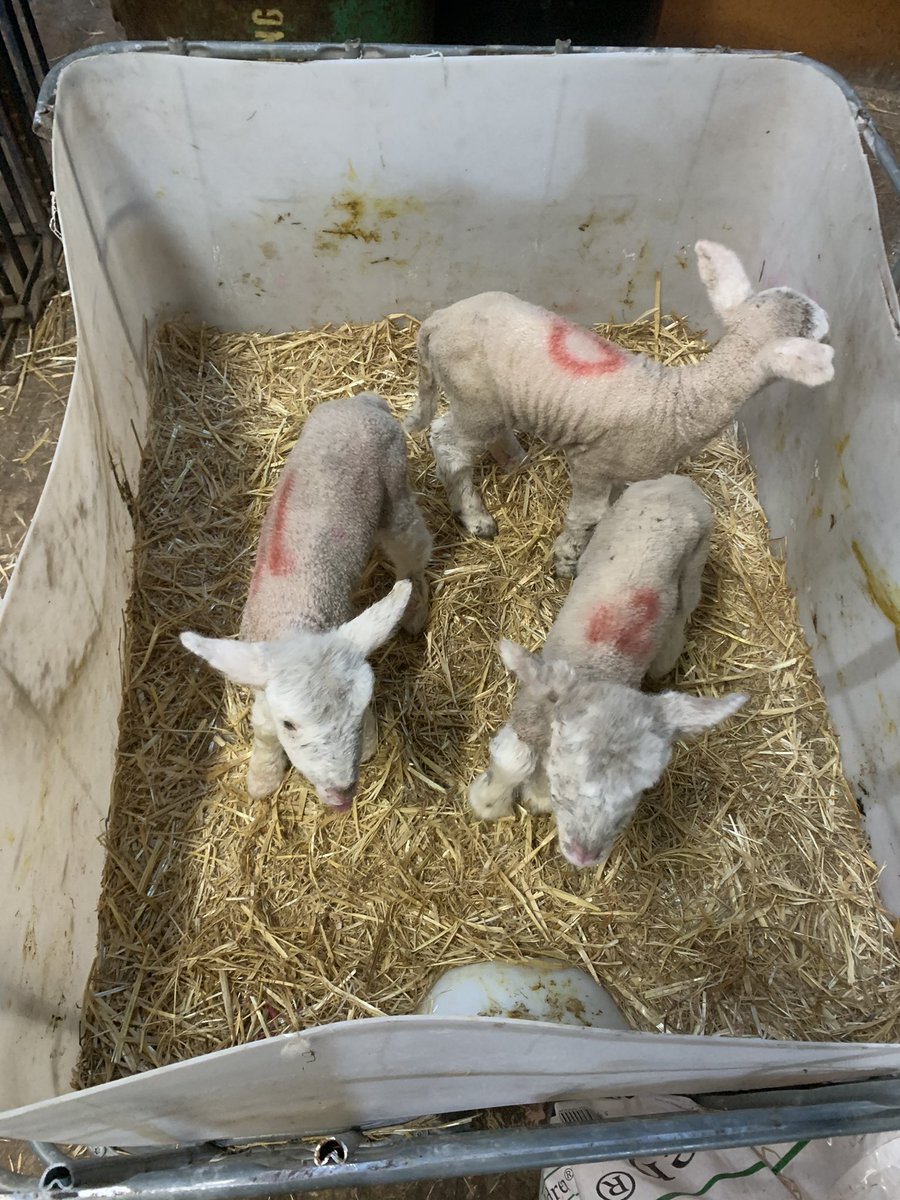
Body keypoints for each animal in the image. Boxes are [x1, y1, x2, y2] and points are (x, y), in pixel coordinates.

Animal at [180, 392, 432, 812]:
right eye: (291, 725)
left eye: (362, 708)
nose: (341, 793)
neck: (295, 625)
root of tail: (365, 401)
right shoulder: (263, 683)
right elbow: (263, 729)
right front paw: (263, 778)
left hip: (395, 486)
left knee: (413, 545)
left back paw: (414, 607)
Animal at [404, 240, 834, 576]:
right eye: (818, 334)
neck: (678, 404)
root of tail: (437, 320)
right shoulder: (592, 464)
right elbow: (585, 517)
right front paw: (565, 563)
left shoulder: (625, 472)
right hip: (475, 398)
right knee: (448, 443)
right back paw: (475, 517)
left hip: (490, 398)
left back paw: (514, 456)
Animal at [468, 474, 746, 869]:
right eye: (568, 774)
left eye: (641, 789)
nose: (585, 855)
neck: (598, 671)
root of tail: (677, 481)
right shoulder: (533, 705)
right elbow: (514, 758)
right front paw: (487, 803)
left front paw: (536, 797)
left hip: (694, 563)